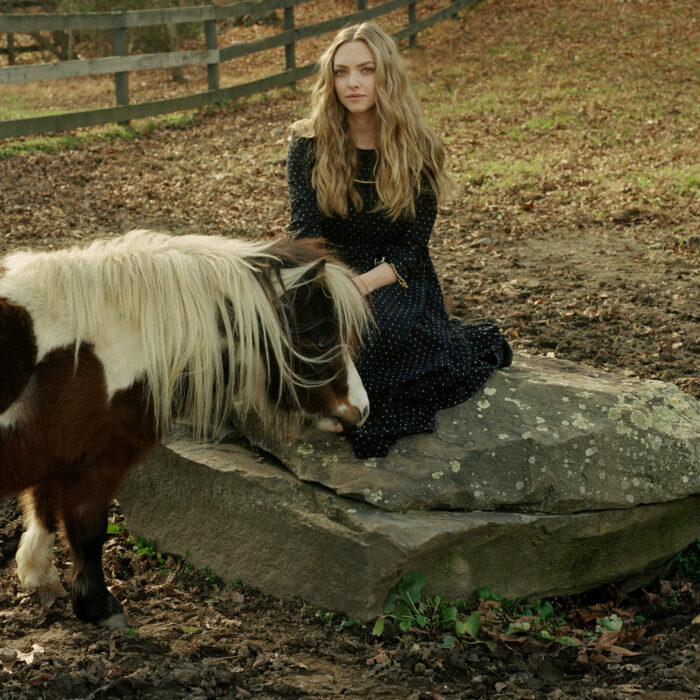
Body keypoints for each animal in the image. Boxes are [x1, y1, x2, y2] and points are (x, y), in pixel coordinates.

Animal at [0, 230, 372, 628]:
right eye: (321, 341)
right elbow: (89, 532)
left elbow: (43, 510)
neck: (109, 344)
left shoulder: (57, 456)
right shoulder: (94, 465)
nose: (363, 409)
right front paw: (100, 606)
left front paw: (39, 576)